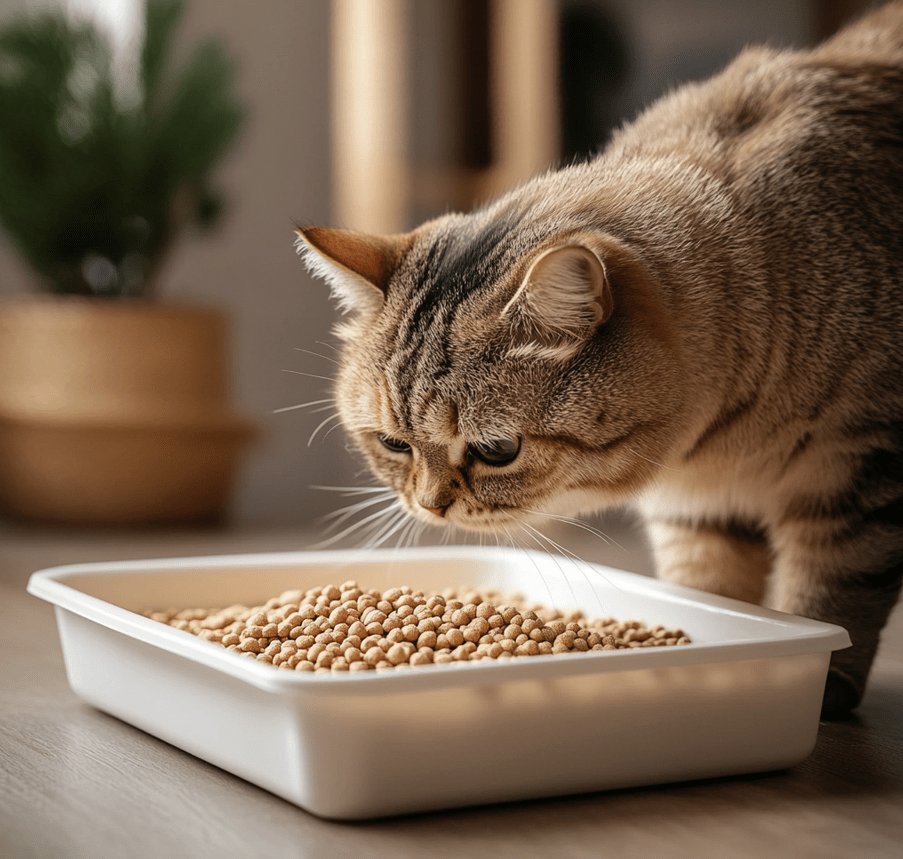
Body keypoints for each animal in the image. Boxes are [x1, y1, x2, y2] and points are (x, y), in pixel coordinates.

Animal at [298, 1, 903, 720]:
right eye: (393, 444)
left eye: (497, 450)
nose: (429, 507)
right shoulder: (698, 511)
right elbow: (711, 590)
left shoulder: (860, 467)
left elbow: (830, 591)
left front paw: (820, 684)